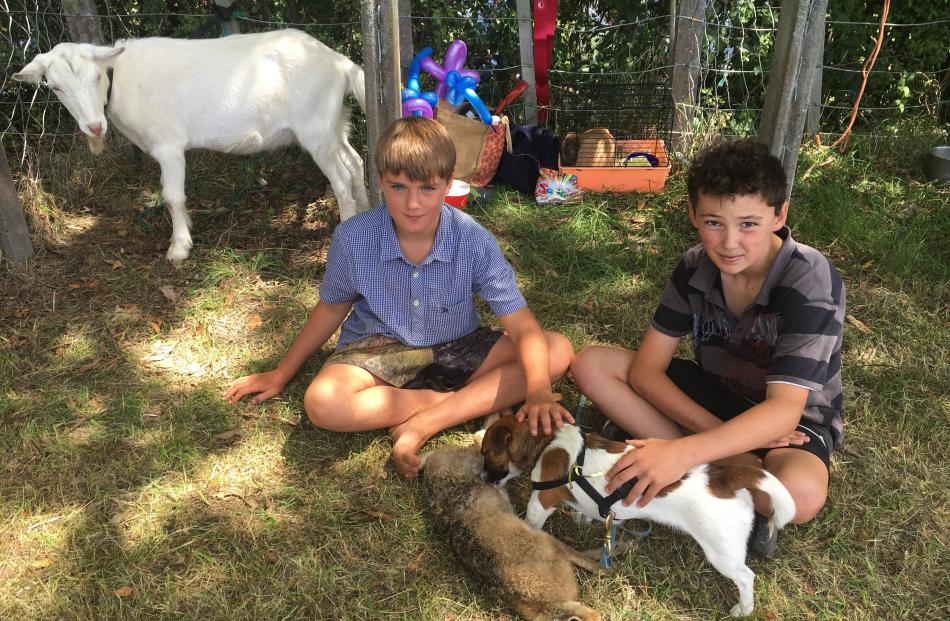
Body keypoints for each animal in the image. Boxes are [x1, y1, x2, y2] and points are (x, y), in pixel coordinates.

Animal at [15, 29, 372, 260]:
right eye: (56, 87)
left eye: (97, 77)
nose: (94, 126)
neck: (122, 80)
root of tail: (339, 62)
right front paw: (186, 228)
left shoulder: (169, 146)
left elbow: (172, 195)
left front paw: (178, 247)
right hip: (332, 124)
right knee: (355, 163)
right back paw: (365, 212)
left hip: (315, 128)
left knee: (340, 179)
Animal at [480, 412, 800, 616]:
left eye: (486, 453)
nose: (482, 479)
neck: (547, 442)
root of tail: (724, 479)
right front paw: (583, 519)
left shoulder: (541, 502)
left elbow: (530, 521)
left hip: (722, 552)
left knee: (746, 577)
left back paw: (744, 609)